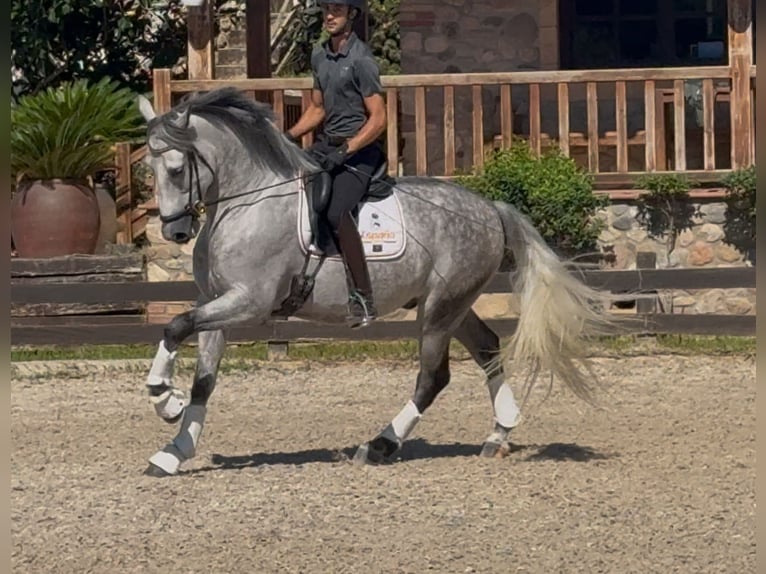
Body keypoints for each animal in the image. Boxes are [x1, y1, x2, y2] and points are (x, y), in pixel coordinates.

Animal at [136, 87, 618, 477]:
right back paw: (499, 433)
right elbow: (204, 378)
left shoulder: (248, 302)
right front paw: (174, 451)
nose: (174, 232)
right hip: (452, 303)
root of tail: (490, 208)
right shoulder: (216, 300)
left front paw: (163, 397)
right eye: (148, 168)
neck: (248, 202)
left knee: (433, 377)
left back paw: (380, 445)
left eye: (176, 169)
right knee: (486, 348)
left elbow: (175, 325)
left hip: (440, 309)